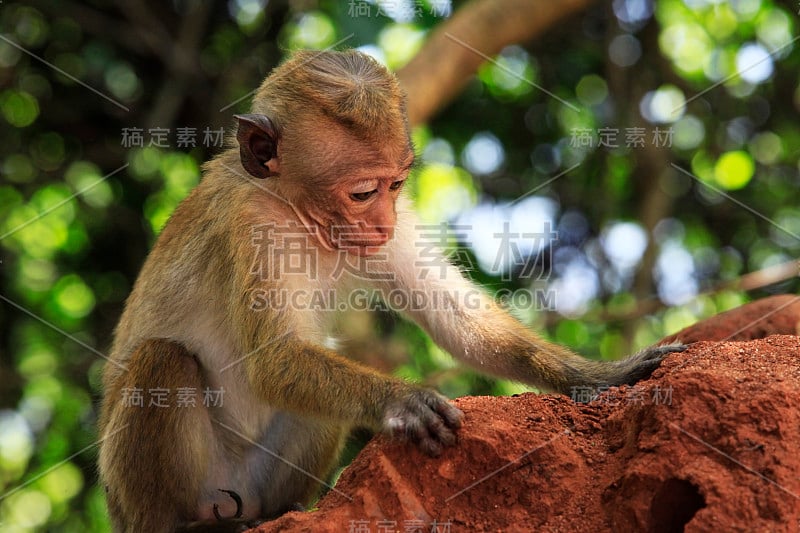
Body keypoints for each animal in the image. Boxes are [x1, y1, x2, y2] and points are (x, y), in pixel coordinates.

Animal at [98, 50, 688, 532]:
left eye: (396, 184)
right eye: (362, 192)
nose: (382, 222)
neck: (296, 213)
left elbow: (454, 319)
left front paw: (601, 378)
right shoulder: (249, 224)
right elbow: (274, 360)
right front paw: (401, 402)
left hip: (259, 479)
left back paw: (275, 514)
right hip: (144, 494)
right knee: (163, 360)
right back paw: (184, 524)